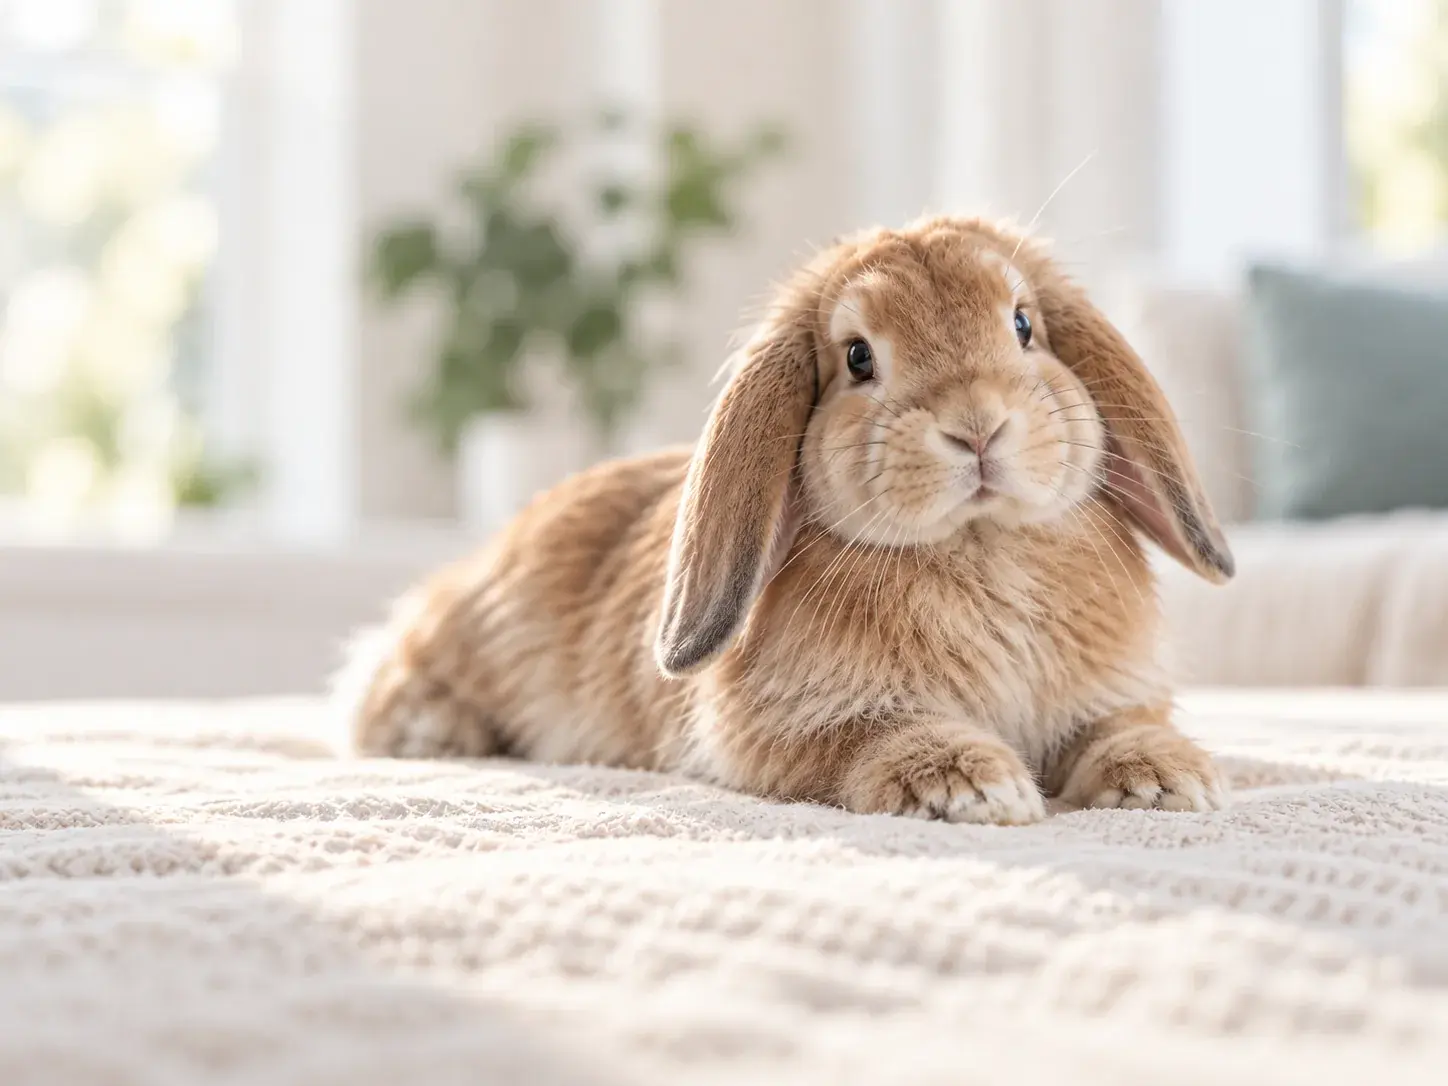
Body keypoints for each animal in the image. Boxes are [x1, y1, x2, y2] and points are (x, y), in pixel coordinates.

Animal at [337, 215, 1235, 825]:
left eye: (1023, 325)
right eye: (858, 357)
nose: (978, 427)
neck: (979, 546)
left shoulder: (1111, 696)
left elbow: (1120, 727)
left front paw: (1165, 780)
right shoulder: (786, 731)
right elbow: (869, 741)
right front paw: (971, 789)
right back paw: (433, 728)